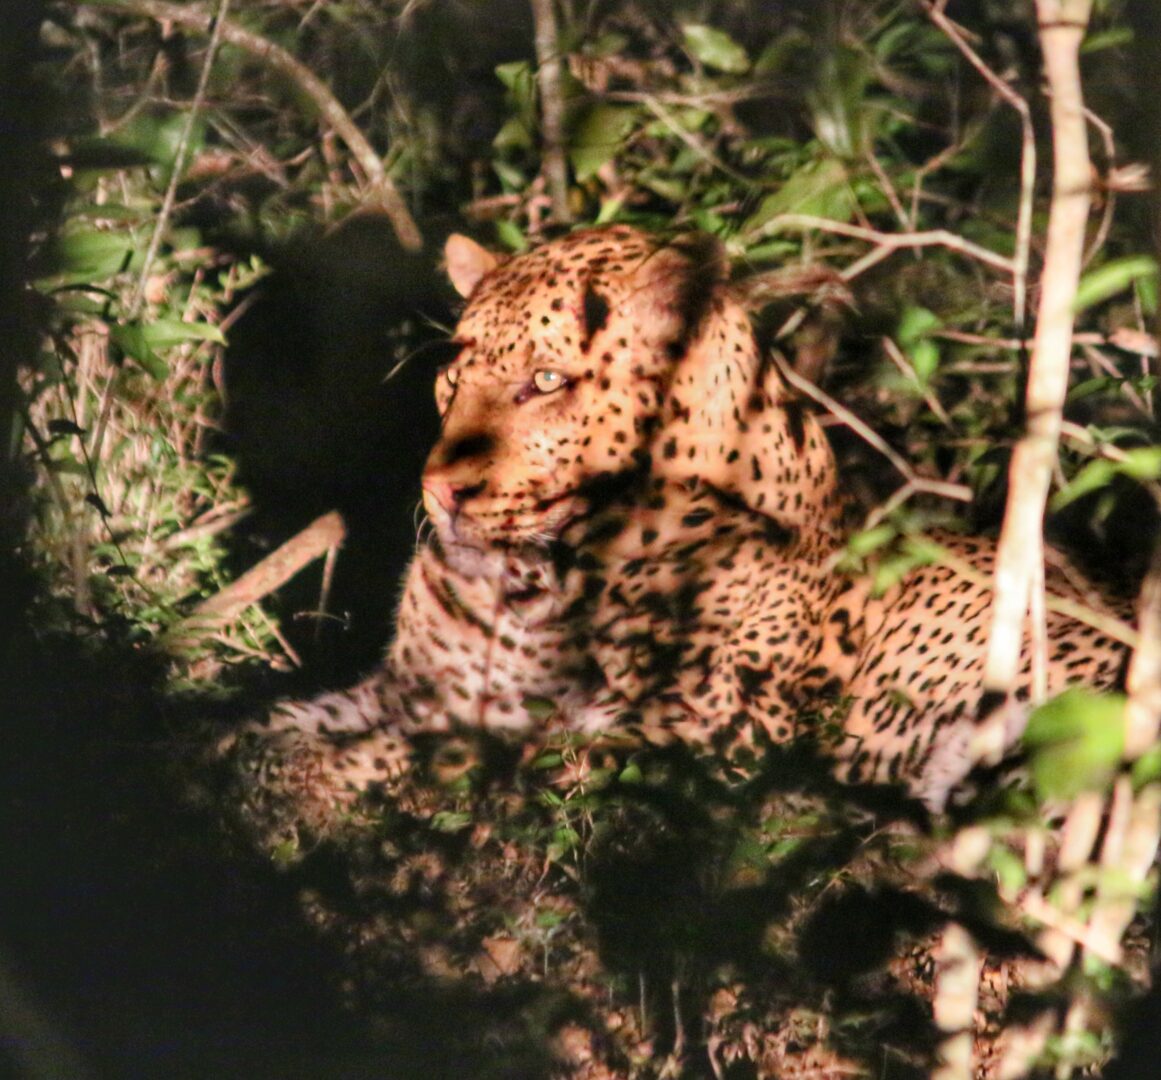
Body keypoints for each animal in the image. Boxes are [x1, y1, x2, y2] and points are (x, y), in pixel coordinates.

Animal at [232, 224, 1131, 813]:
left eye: (546, 380)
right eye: (454, 374)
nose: (440, 488)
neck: (537, 579)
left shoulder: (720, 726)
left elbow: (485, 753)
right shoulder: (414, 687)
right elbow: (295, 719)